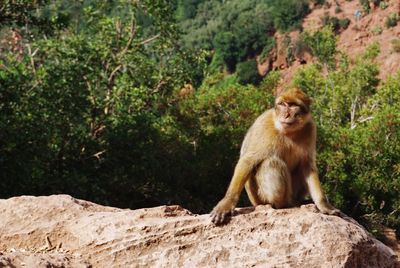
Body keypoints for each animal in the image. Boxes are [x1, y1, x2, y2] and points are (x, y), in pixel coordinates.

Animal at [211, 88, 340, 224]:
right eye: (283, 104)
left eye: (293, 105)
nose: (286, 115)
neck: (289, 132)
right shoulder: (264, 126)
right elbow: (248, 161)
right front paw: (227, 203)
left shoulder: (310, 128)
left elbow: (307, 166)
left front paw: (324, 204)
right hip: (260, 198)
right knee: (271, 162)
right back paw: (284, 204)